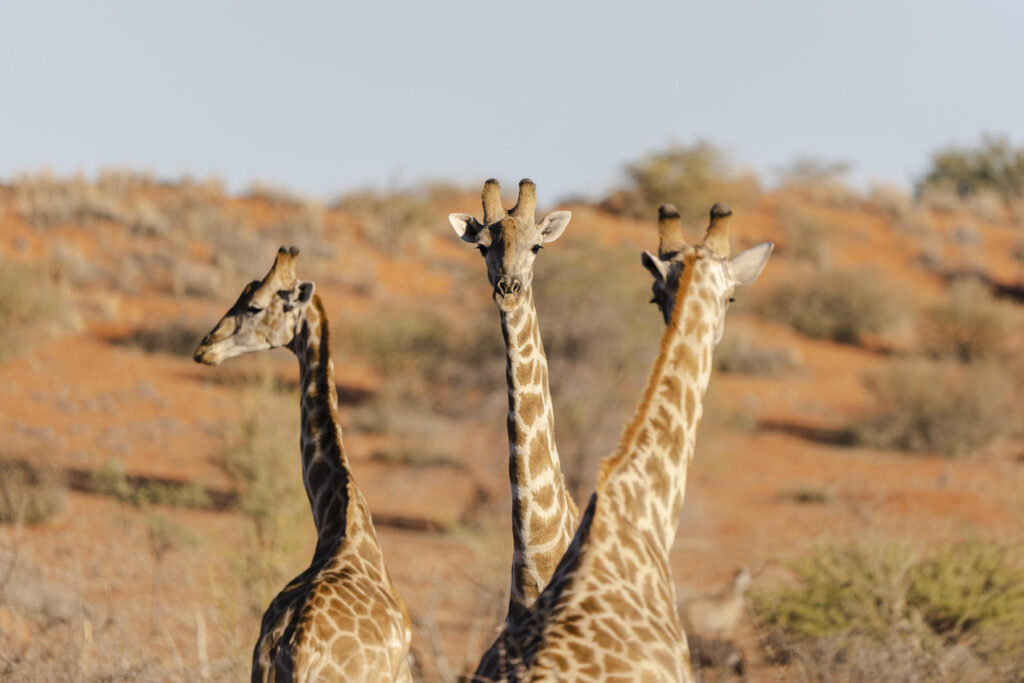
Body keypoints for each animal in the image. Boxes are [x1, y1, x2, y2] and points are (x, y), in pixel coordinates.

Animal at [193, 248, 413, 683]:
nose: (204, 348)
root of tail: (296, 652)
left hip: (257, 671)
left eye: (254, 304)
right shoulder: (404, 673)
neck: (341, 522)